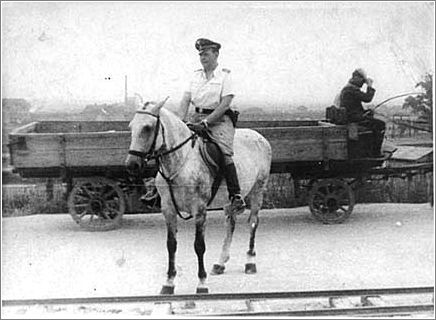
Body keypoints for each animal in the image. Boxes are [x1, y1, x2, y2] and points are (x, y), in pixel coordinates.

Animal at [124, 100, 270, 296]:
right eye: (131, 126)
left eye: (147, 127)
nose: (131, 165)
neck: (180, 162)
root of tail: (259, 136)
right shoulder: (168, 209)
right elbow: (171, 245)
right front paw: (169, 283)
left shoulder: (199, 210)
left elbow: (199, 246)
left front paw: (202, 283)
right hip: (229, 201)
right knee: (230, 224)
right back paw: (220, 263)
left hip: (258, 191)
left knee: (253, 223)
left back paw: (250, 263)